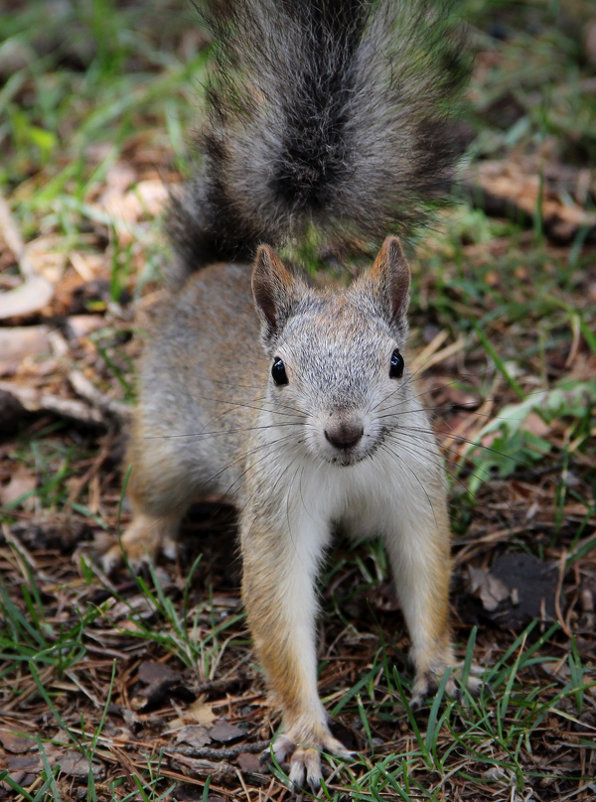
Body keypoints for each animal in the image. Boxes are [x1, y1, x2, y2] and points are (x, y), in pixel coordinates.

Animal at [100, 0, 482, 788]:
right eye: (277, 371)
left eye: (397, 362)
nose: (343, 430)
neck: (347, 472)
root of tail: (210, 273)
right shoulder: (275, 509)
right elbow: (278, 609)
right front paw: (306, 733)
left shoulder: (413, 488)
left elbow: (426, 573)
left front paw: (442, 668)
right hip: (163, 437)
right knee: (151, 485)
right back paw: (144, 537)